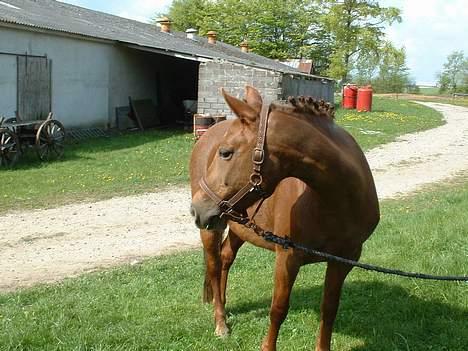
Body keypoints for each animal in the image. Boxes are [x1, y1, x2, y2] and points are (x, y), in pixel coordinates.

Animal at [188, 86, 378, 351]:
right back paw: (221, 323)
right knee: (215, 266)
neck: (335, 202)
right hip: (211, 229)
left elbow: (329, 309)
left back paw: (223, 304)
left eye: (226, 153)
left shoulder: (344, 260)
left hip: (238, 225)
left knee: (225, 258)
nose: (197, 209)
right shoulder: (288, 257)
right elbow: (278, 309)